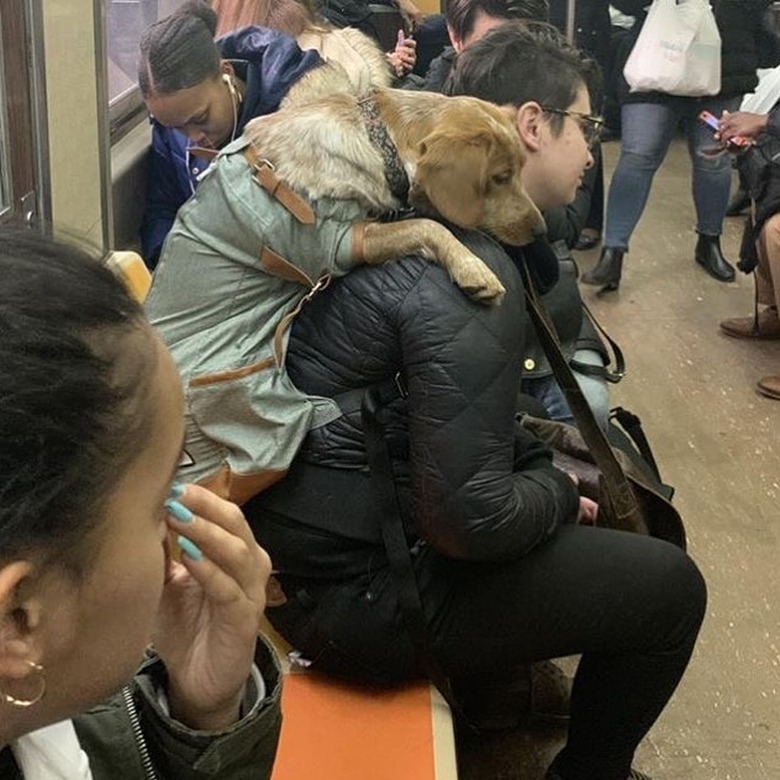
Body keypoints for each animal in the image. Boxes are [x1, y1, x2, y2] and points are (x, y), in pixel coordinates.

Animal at [245, 64, 548, 304]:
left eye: (522, 169)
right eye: (500, 178)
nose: (541, 231)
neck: (381, 143)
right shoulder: (342, 242)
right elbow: (428, 226)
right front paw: (471, 265)